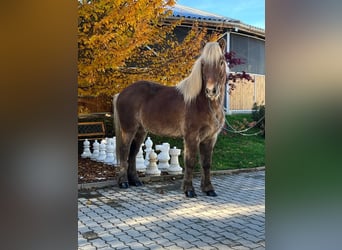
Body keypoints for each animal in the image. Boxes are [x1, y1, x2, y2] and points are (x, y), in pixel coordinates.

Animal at [113, 40, 228, 197]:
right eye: (203, 63)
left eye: (221, 62)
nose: (211, 90)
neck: (202, 103)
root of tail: (121, 93)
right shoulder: (191, 136)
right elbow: (190, 162)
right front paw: (189, 190)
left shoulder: (210, 138)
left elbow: (206, 163)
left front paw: (208, 189)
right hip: (128, 130)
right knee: (125, 151)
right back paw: (123, 182)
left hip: (141, 131)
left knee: (133, 153)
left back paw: (135, 181)